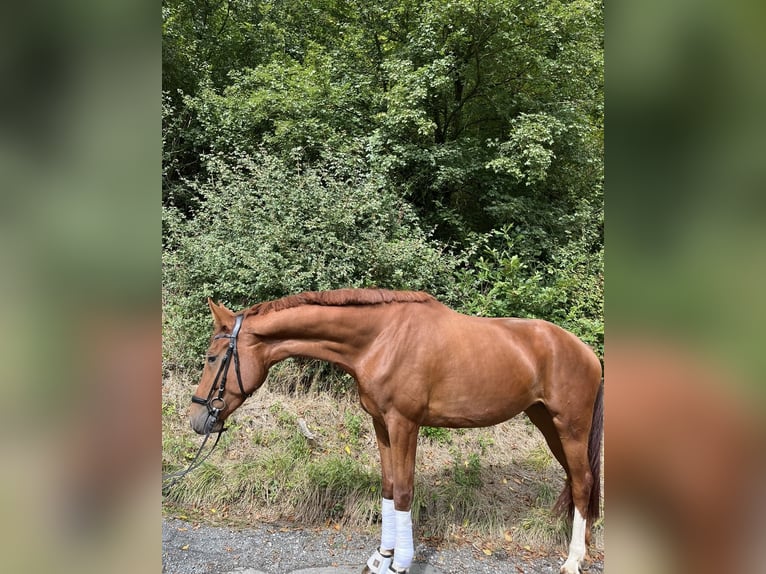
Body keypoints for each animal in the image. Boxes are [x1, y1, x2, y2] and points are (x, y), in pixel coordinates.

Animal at [189, 292, 604, 574]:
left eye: (213, 358)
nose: (198, 418)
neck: (380, 339)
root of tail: (586, 351)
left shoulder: (405, 423)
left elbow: (404, 491)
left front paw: (401, 562)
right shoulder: (382, 423)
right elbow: (388, 488)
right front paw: (382, 556)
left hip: (570, 425)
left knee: (582, 481)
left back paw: (572, 560)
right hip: (546, 422)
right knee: (577, 481)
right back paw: (581, 547)